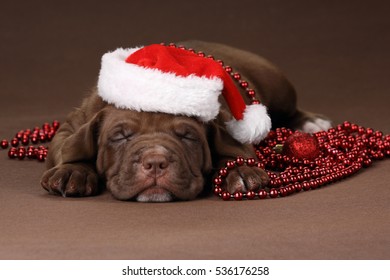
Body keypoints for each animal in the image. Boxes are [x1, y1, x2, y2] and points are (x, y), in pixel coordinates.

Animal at [40, 40, 332, 201]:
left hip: (275, 82)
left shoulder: (231, 125)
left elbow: (235, 148)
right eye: (120, 137)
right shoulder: (74, 124)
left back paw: (311, 123)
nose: (155, 162)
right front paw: (72, 172)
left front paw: (240, 172)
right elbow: (70, 148)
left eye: (187, 136)